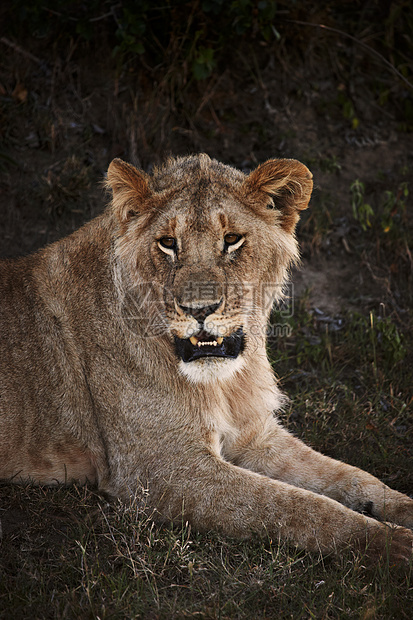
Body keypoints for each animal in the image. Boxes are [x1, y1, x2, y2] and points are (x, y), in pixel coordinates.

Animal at [0, 154, 412, 560]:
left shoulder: (255, 436)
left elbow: (351, 476)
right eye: (168, 243)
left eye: (232, 240)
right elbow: (300, 507)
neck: (224, 382)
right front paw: (392, 544)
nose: (200, 310)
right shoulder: (164, 471)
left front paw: (401, 509)